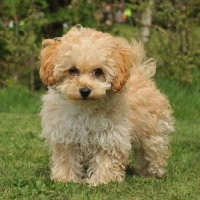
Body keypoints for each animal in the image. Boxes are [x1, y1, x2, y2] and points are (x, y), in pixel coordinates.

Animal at [38, 25, 173, 186]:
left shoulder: (112, 135)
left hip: (152, 132)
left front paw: (102, 180)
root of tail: (141, 74)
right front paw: (65, 178)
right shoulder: (64, 135)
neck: (85, 109)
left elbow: (107, 158)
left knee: (153, 152)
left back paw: (152, 173)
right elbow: (66, 157)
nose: (85, 91)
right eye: (72, 70)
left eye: (98, 71)